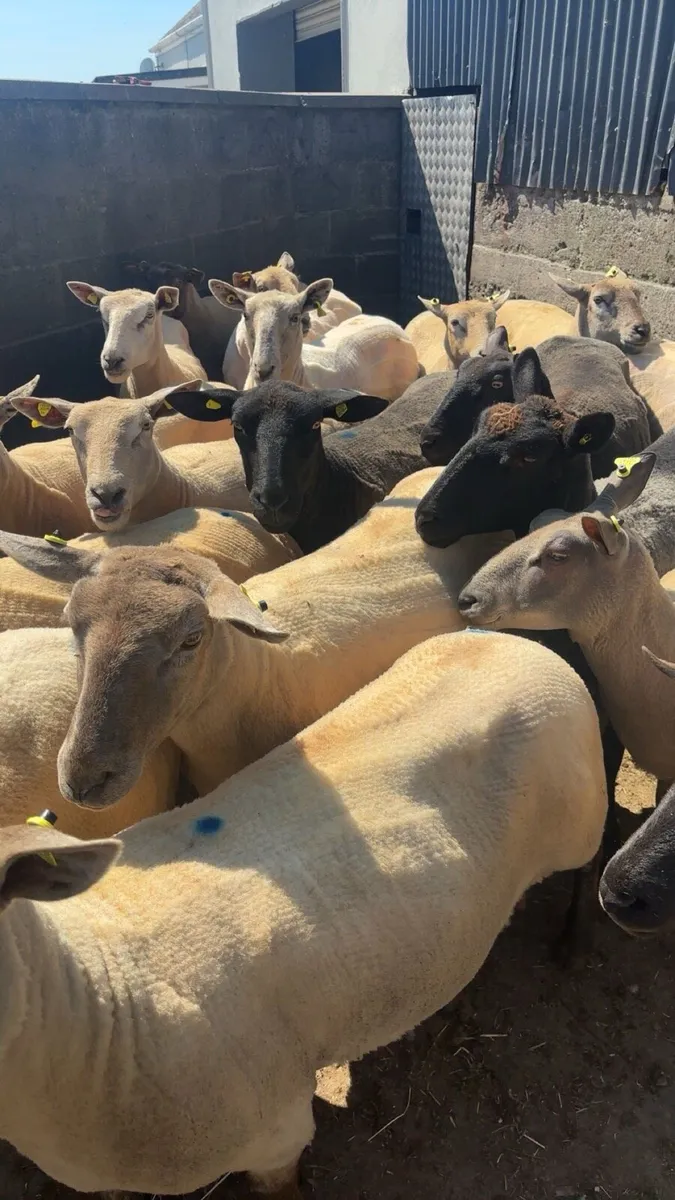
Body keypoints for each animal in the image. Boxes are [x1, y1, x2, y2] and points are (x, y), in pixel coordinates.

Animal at [0, 627, 607, 1198]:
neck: (101, 998)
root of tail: (521, 645)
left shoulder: (275, 1133)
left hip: (581, 821)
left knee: (590, 864)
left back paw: (572, 942)